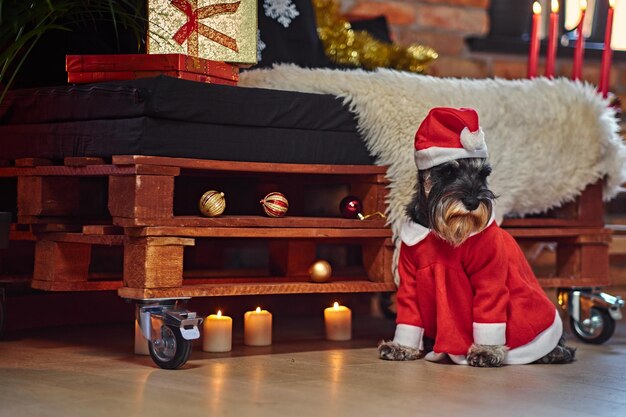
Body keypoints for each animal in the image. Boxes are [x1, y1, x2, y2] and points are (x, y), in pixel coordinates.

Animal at [372, 108, 572, 368]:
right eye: (447, 171)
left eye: (483, 174)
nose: (472, 201)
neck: (442, 233)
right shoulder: (410, 280)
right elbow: (409, 315)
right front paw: (401, 347)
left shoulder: (489, 278)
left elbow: (489, 313)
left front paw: (486, 351)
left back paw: (554, 351)